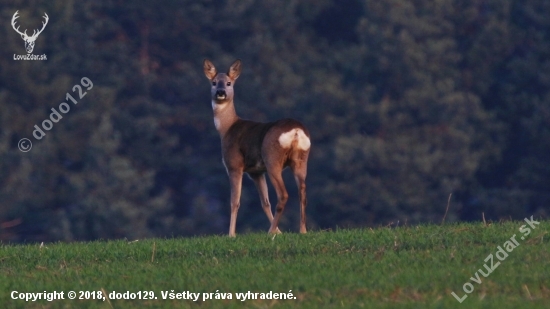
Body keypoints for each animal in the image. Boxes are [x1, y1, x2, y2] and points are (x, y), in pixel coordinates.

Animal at [205, 59, 312, 236]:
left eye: (228, 83)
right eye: (214, 82)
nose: (220, 92)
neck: (226, 128)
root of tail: (296, 131)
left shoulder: (234, 165)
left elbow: (235, 201)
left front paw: (231, 234)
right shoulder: (256, 172)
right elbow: (265, 202)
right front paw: (280, 232)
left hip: (272, 158)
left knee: (283, 194)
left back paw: (270, 232)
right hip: (301, 159)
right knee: (302, 191)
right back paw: (301, 230)